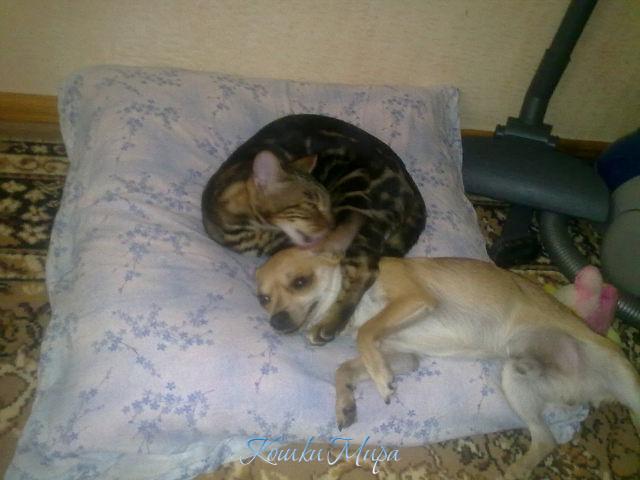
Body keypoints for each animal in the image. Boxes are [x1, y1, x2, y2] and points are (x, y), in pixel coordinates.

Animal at [201, 114, 426, 344]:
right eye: (310, 205)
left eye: (326, 204)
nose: (332, 224)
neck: (250, 230)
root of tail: (411, 187)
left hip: (356, 202)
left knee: (365, 270)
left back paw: (331, 322)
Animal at [255, 247, 640, 479]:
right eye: (263, 299)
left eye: (301, 282)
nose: (276, 321)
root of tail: (588, 395)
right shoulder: (403, 356)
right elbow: (347, 366)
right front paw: (346, 400)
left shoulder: (413, 300)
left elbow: (366, 333)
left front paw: (379, 380)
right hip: (515, 379)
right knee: (545, 440)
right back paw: (516, 469)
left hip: (625, 378)